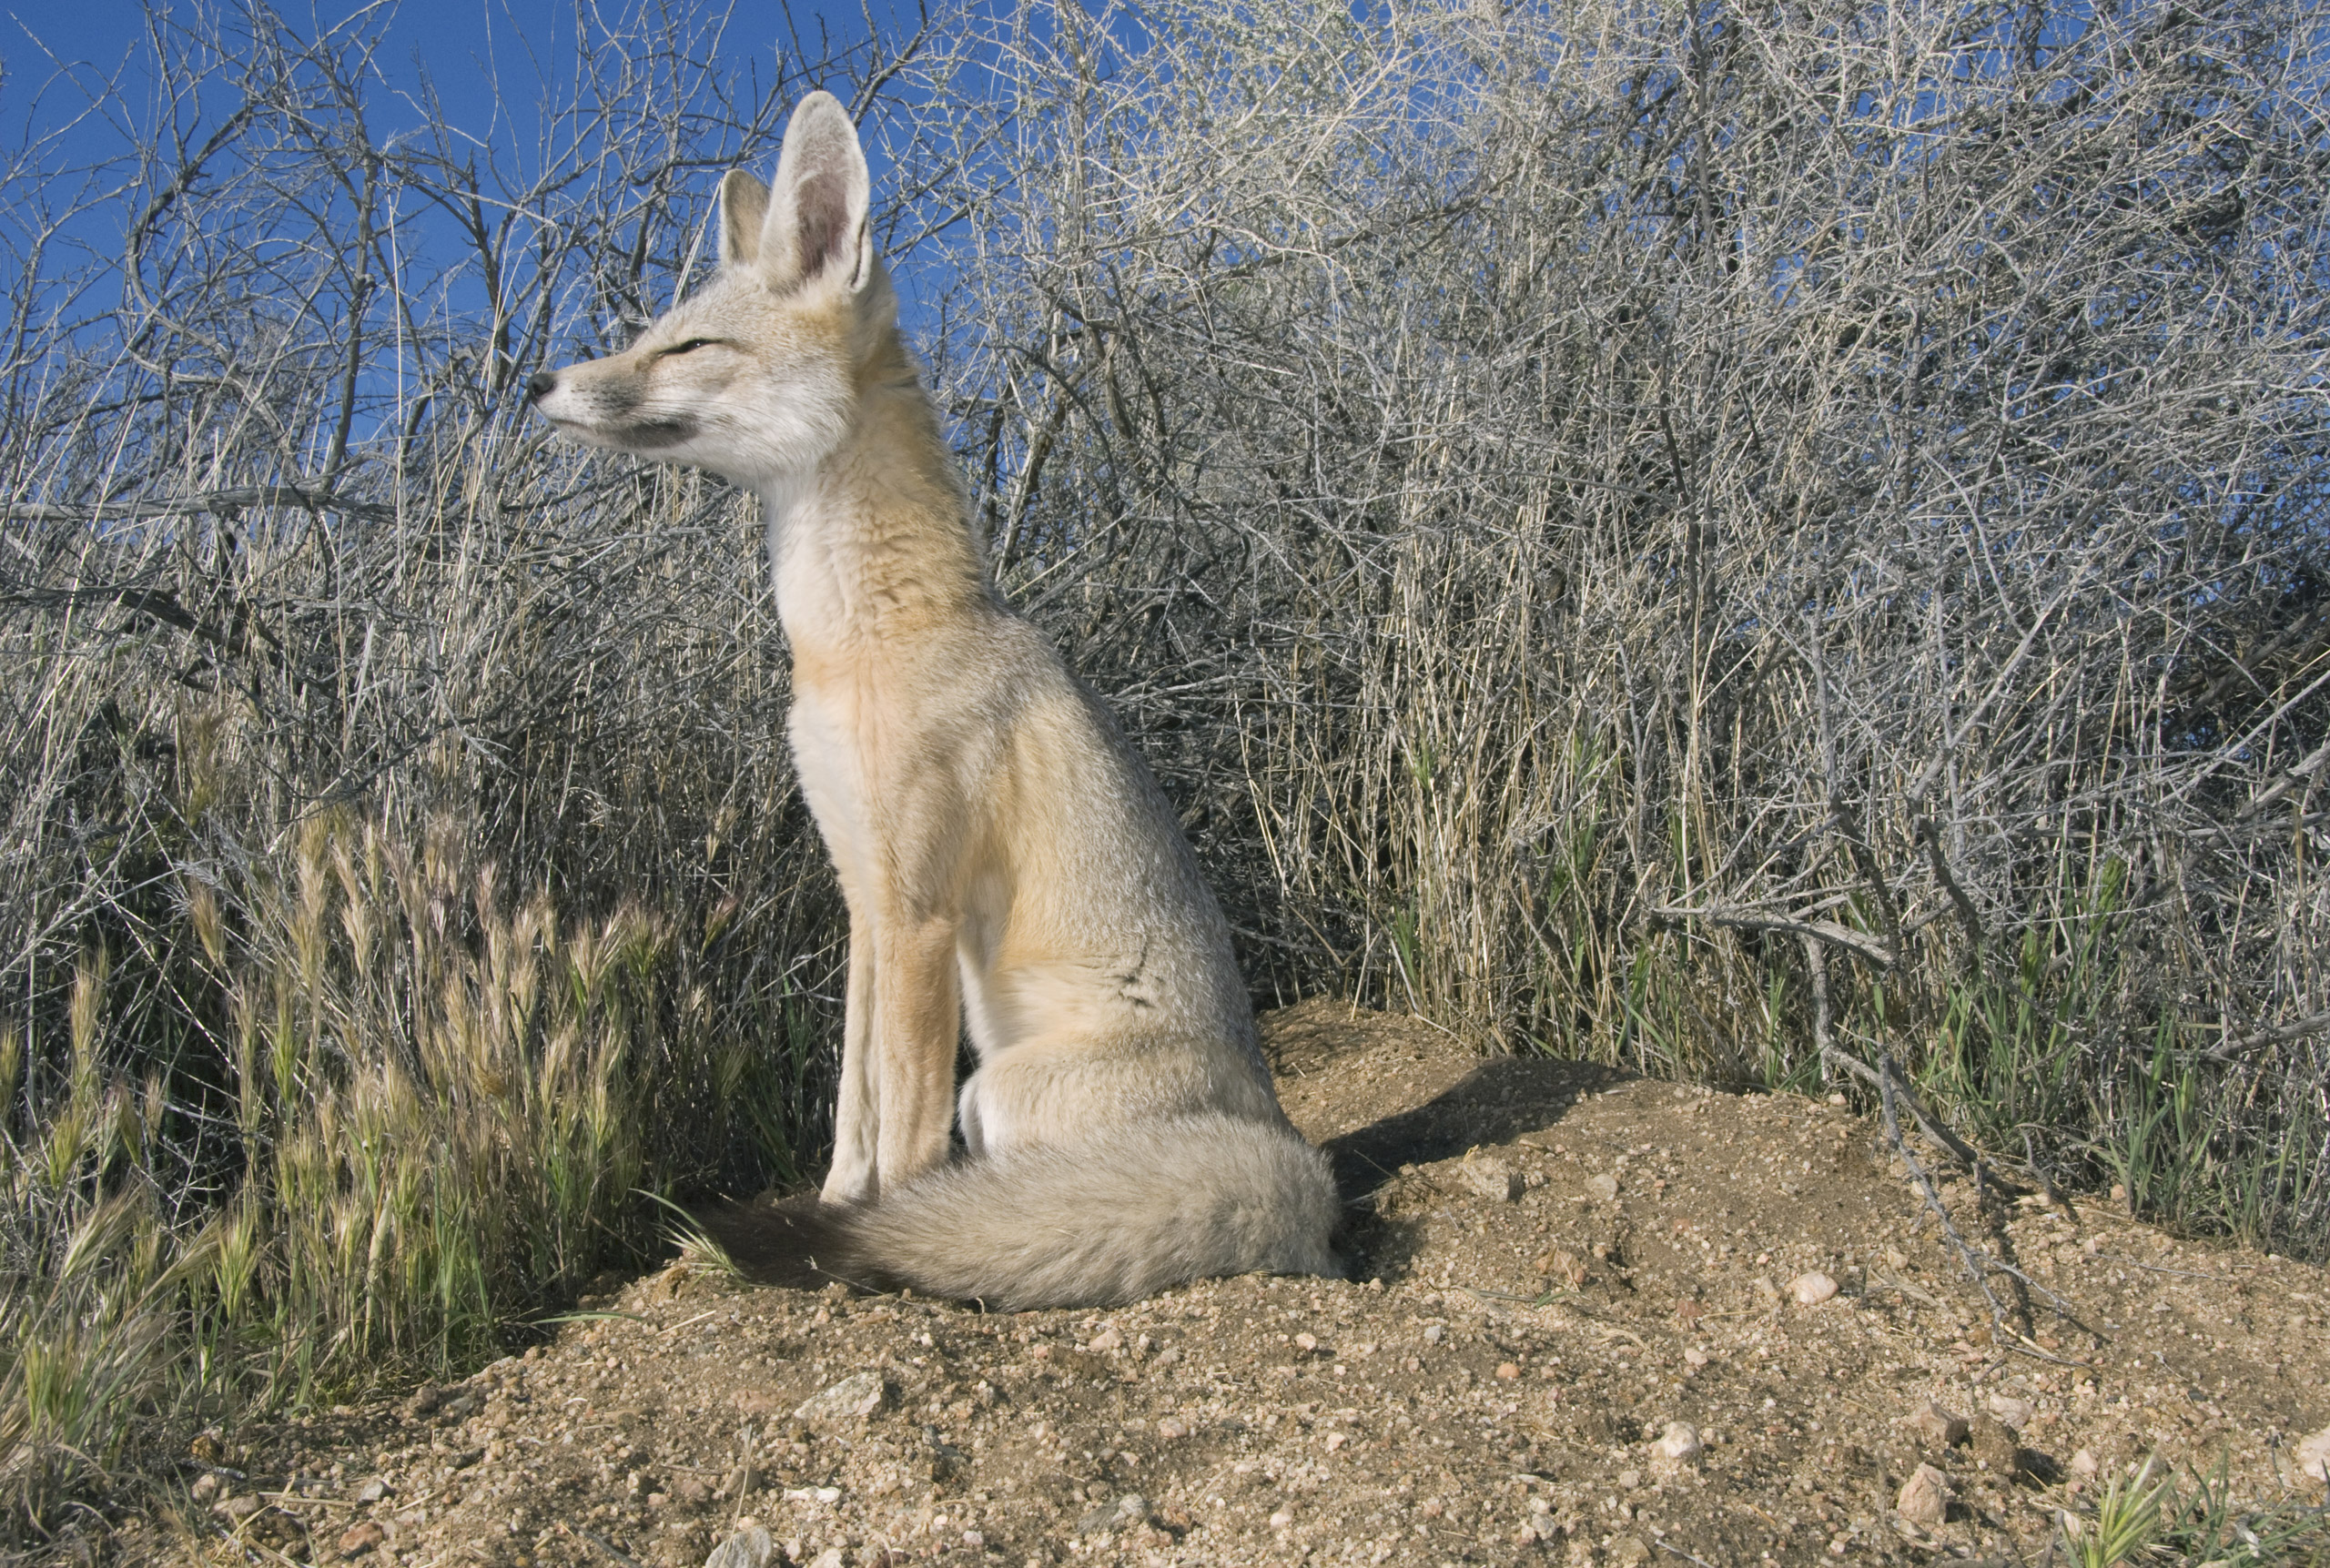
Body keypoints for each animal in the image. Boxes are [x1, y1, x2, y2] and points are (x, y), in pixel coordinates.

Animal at [526, 91, 1340, 1310]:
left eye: (688, 344)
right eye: (652, 333)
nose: (538, 384)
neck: (860, 642)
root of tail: (1304, 1161)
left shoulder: (916, 909)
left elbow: (898, 1129)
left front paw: (886, 1234)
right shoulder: (863, 892)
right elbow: (850, 1110)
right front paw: (837, 1211)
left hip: (994, 1090)